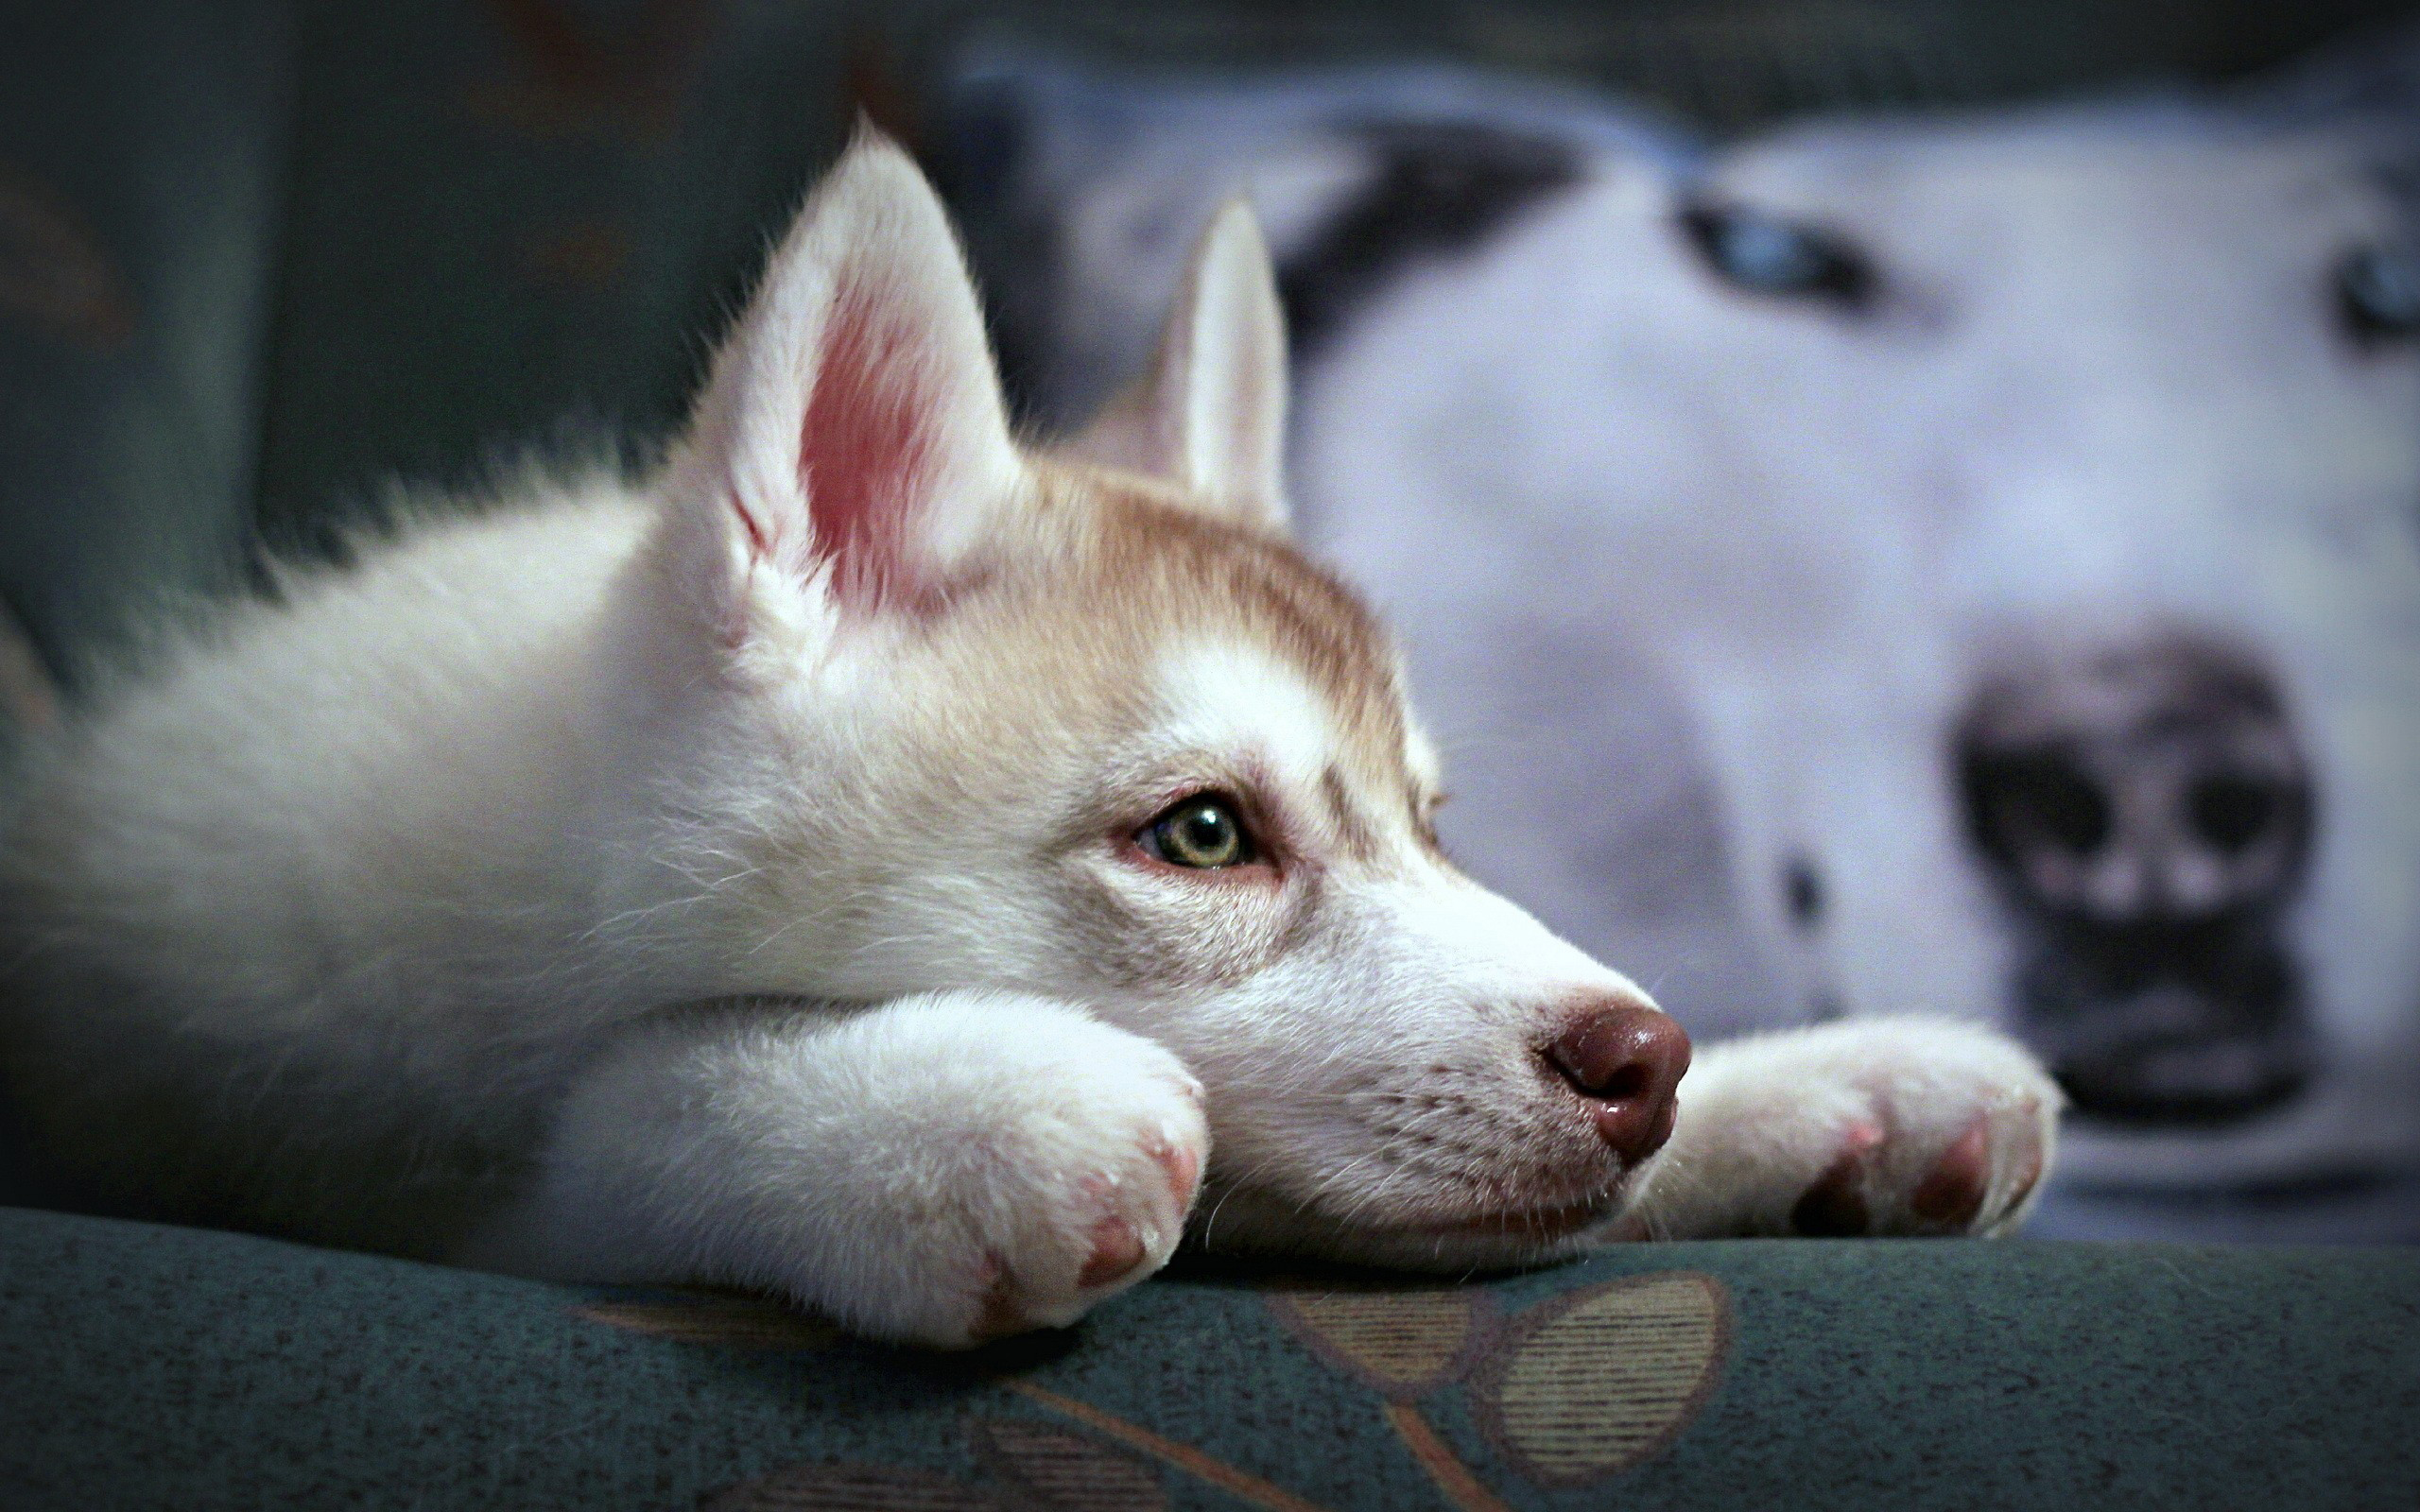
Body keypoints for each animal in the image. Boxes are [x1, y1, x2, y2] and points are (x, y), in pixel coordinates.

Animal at [0, 138, 2062, 1345]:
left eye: (1436, 819)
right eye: (1205, 833)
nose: (1646, 1058)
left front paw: (1814, 1087)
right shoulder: (289, 1130)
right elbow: (615, 1118)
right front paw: (932, 1117)